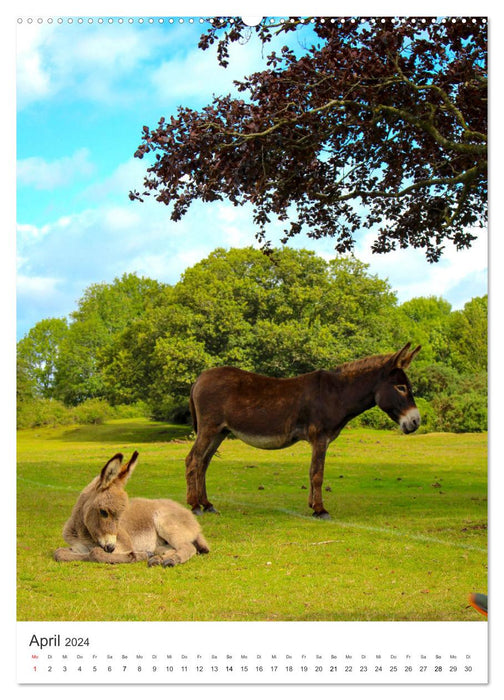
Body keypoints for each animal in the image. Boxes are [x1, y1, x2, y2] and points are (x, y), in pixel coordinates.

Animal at [55, 452, 211, 568]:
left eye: (120, 515)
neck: (83, 534)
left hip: (167, 525)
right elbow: (59, 553)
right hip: (161, 542)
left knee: (188, 547)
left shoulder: (123, 545)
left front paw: (136, 556)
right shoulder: (77, 547)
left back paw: (170, 560)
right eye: (104, 512)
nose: (110, 547)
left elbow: (95, 552)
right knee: (175, 548)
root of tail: (190, 516)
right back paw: (157, 559)